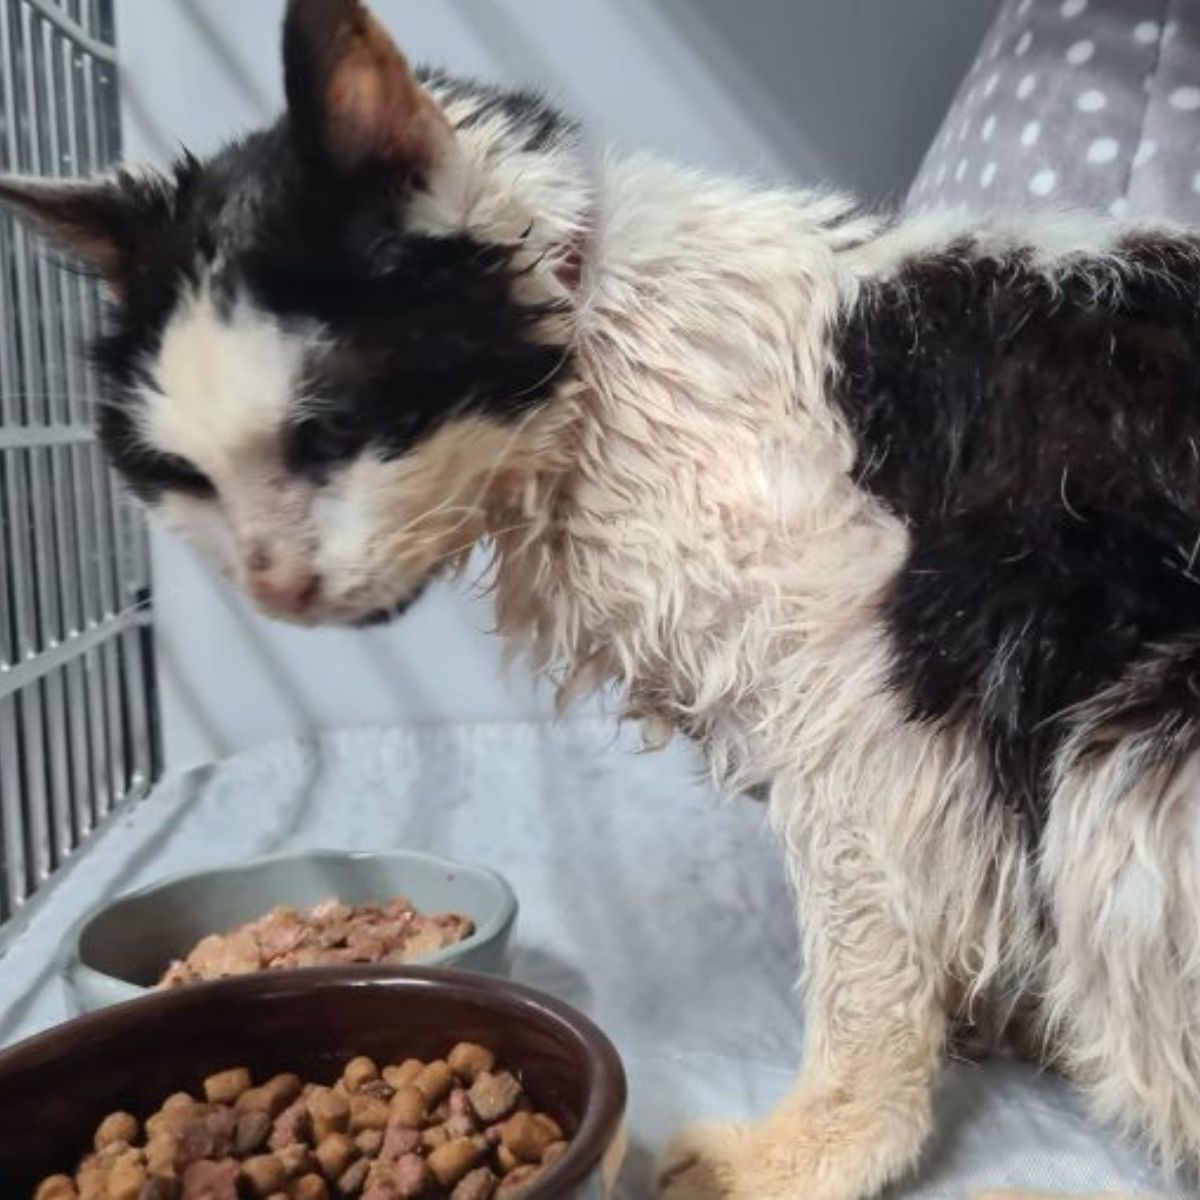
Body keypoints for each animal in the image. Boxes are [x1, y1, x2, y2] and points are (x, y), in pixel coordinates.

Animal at [7, 2, 1200, 1200]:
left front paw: (811, 1148)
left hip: (1119, 760)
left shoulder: (861, 713)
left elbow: (867, 958)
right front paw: (986, 1012)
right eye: (183, 478)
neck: (599, 353)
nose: (273, 585)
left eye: (332, 431)